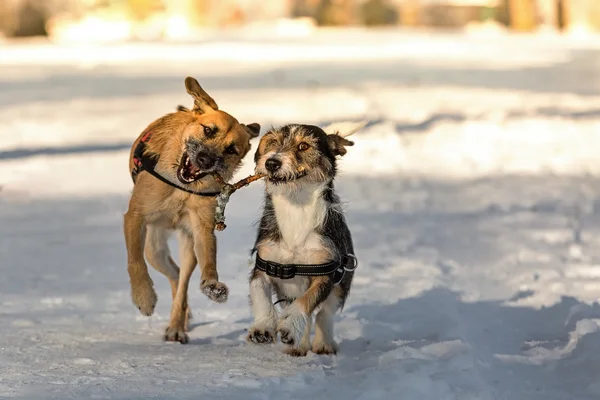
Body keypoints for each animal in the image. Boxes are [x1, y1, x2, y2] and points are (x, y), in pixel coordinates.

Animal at [123, 76, 260, 344]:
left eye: (232, 150)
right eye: (208, 130)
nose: (205, 160)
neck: (181, 189)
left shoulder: (202, 227)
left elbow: (209, 262)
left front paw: (212, 285)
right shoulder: (135, 218)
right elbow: (135, 261)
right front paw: (144, 297)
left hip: (187, 246)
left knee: (182, 280)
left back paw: (177, 325)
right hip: (154, 248)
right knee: (172, 274)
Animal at [245, 121, 366, 356]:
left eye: (303, 146)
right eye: (273, 142)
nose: (271, 162)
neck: (295, 208)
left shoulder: (325, 273)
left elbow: (307, 301)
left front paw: (291, 325)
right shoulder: (263, 266)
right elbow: (260, 296)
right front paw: (262, 327)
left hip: (341, 284)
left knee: (323, 315)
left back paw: (323, 343)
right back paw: (298, 345)